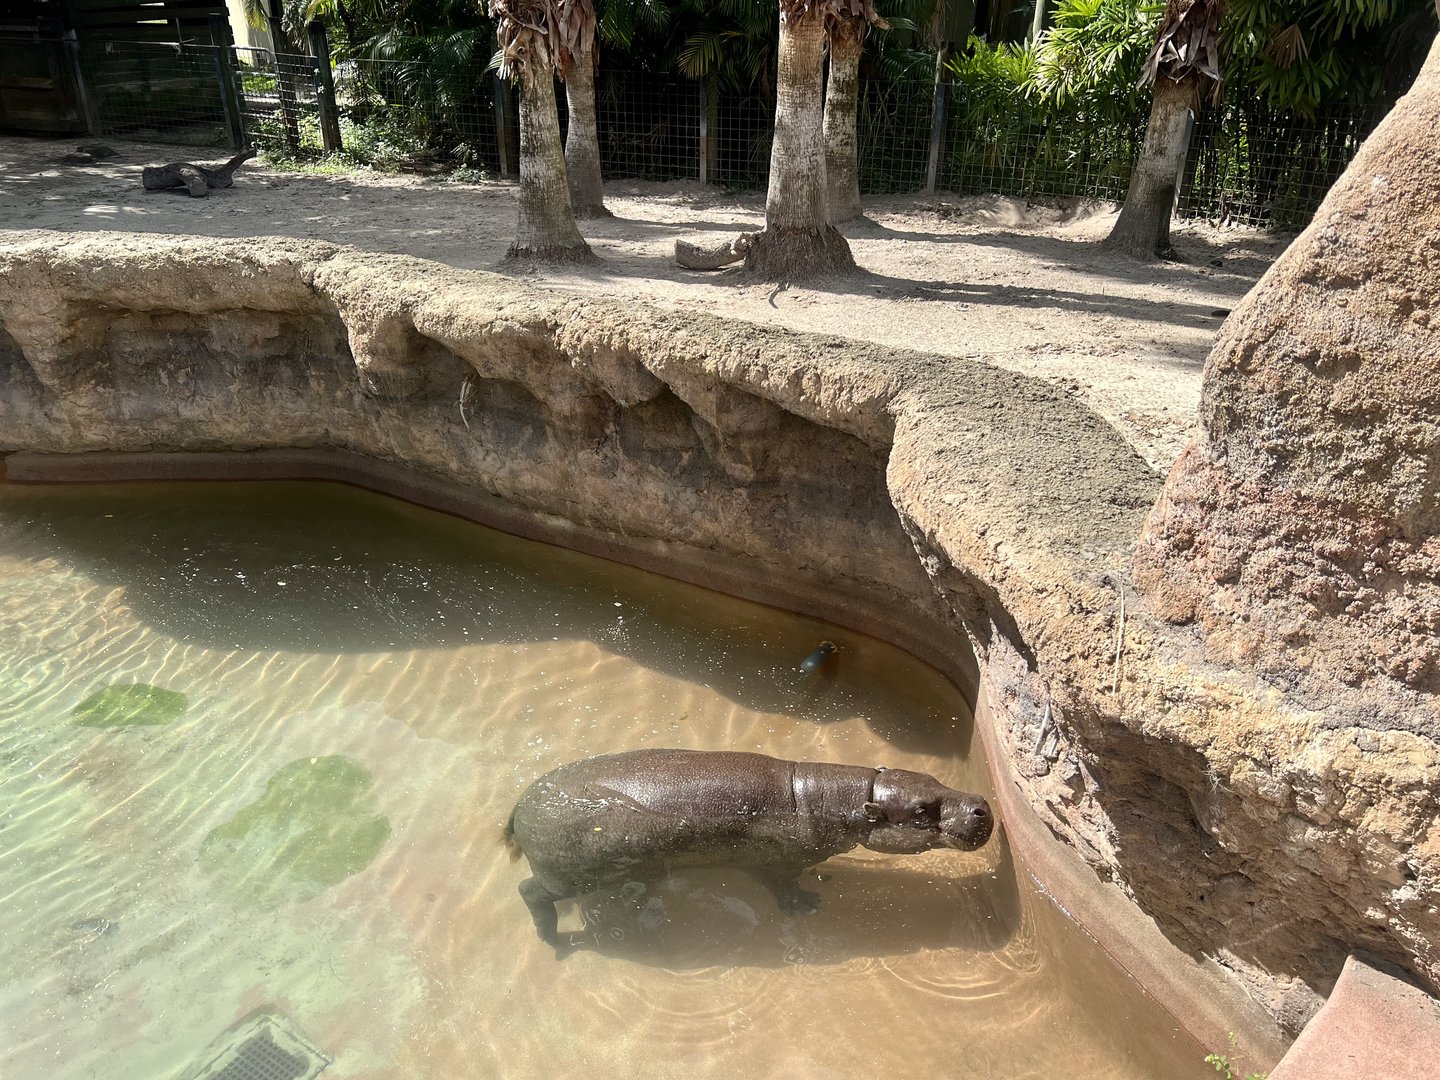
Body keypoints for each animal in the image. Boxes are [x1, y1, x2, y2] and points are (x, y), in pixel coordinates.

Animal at [504, 748, 993, 947]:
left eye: (933, 778)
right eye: (921, 810)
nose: (983, 807)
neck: (828, 797)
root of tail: (517, 807)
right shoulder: (775, 865)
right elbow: (782, 888)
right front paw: (807, 904)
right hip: (573, 874)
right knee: (529, 891)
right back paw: (552, 938)